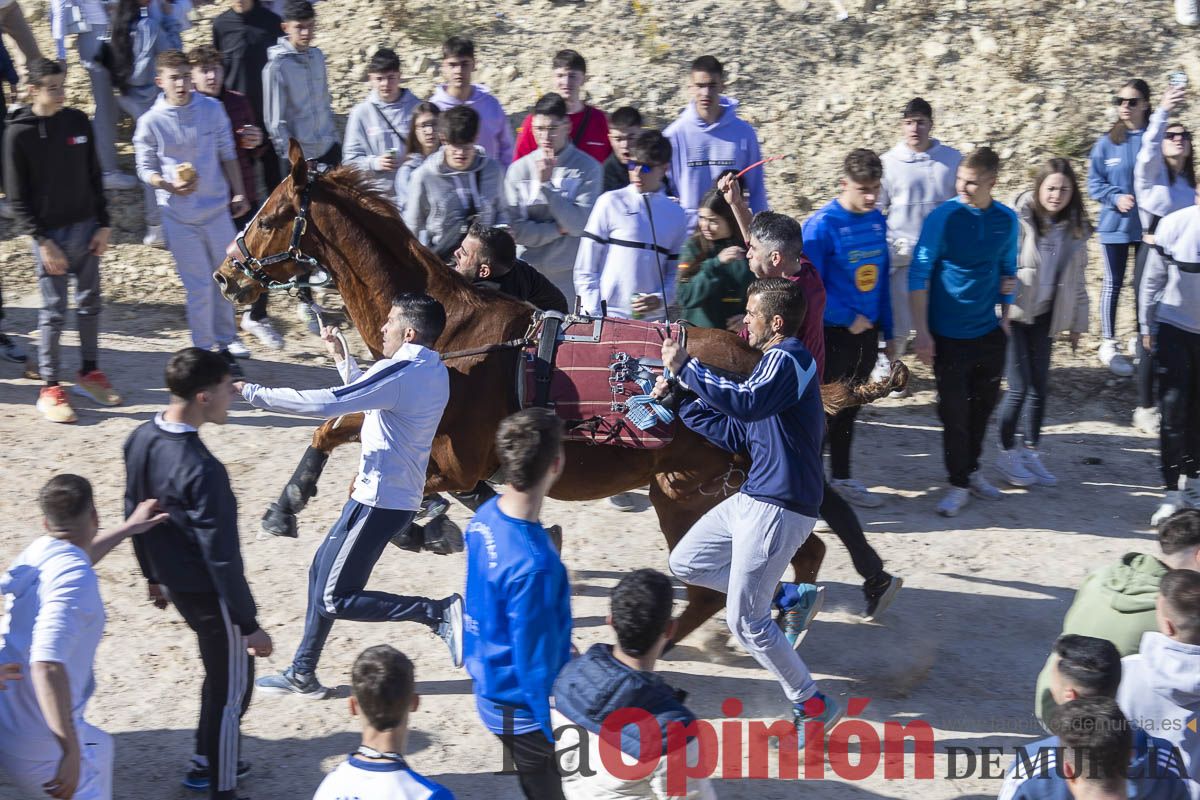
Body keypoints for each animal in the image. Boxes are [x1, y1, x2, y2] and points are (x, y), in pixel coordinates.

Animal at [218, 142, 907, 642]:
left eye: (271, 216)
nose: (227, 274)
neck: (452, 330)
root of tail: (760, 360)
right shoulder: (429, 430)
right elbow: (340, 429)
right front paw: (296, 504)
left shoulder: (451, 454)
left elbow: (398, 477)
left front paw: (408, 526)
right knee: (801, 551)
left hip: (683, 491)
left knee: (730, 579)